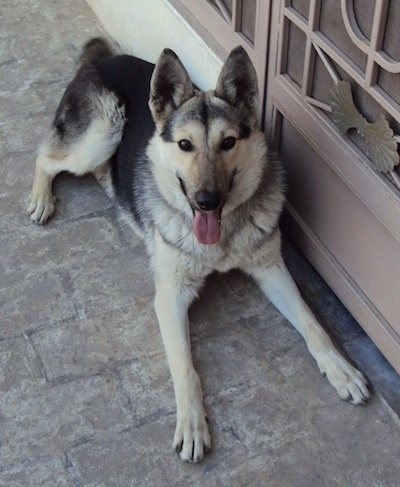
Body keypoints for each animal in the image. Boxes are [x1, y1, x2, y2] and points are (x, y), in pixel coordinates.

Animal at [28, 38, 370, 462]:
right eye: (185, 145)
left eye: (228, 142)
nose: (207, 201)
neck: (219, 240)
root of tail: (102, 58)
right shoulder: (170, 297)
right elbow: (184, 368)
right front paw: (192, 423)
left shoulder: (273, 270)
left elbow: (313, 325)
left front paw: (340, 369)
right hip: (102, 133)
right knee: (45, 158)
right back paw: (41, 198)